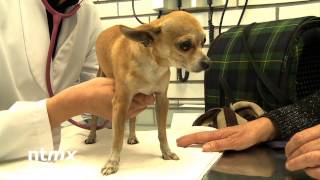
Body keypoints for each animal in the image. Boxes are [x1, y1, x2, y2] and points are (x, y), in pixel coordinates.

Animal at [85, 10, 210, 175]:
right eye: (185, 45)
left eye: (204, 42)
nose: (208, 63)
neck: (152, 66)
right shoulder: (121, 102)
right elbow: (117, 137)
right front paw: (112, 162)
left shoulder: (161, 100)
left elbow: (162, 132)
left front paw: (166, 152)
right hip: (103, 77)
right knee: (94, 118)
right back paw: (91, 136)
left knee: (132, 118)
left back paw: (132, 136)